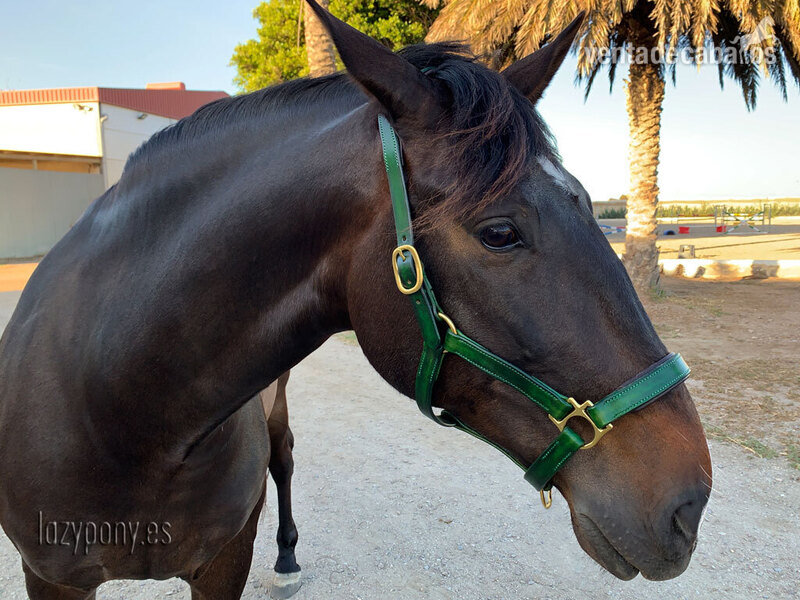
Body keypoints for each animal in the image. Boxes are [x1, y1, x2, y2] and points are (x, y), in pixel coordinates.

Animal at [0, 2, 712, 598]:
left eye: (589, 204)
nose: (690, 505)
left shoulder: (224, 563)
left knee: (285, 457)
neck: (123, 408)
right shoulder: (53, 577)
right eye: (500, 233)